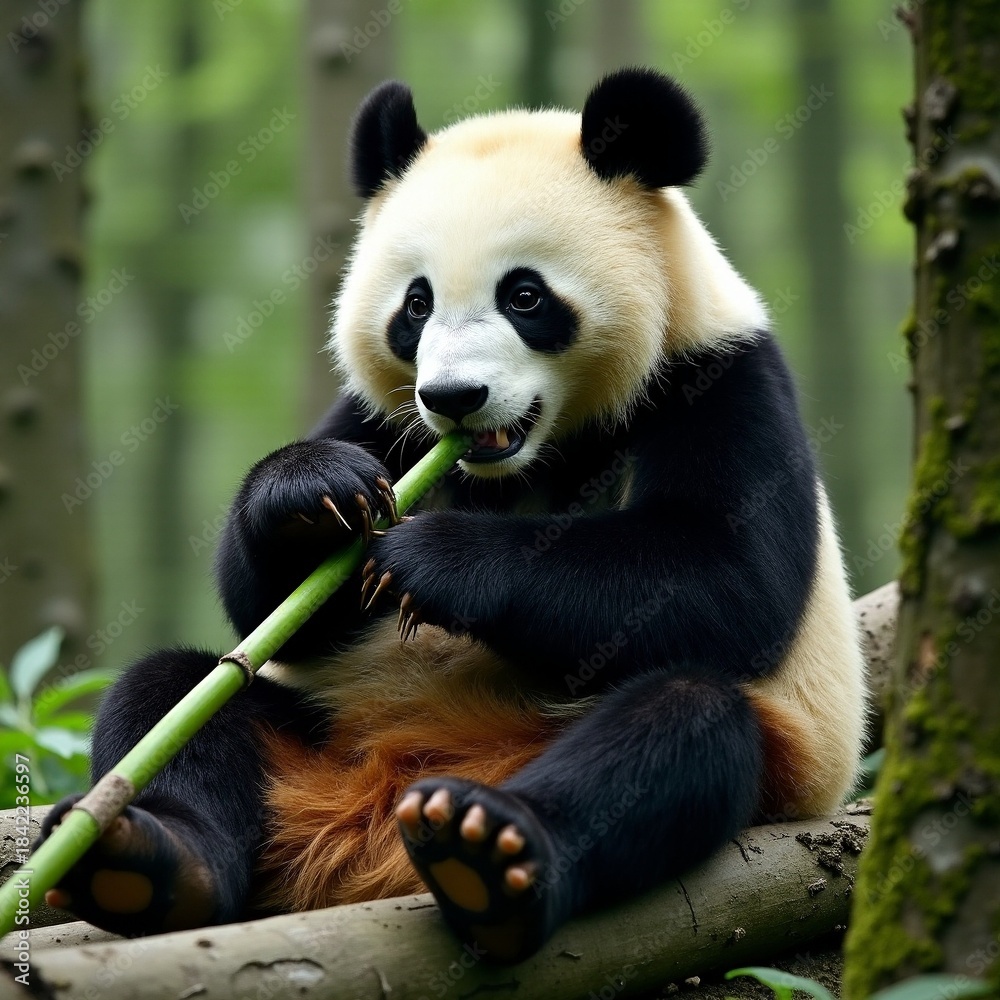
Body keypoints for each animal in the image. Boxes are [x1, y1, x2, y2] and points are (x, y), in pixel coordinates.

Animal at [39, 67, 865, 964]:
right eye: (416, 305)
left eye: (525, 295)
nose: (455, 398)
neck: (530, 457)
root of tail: (371, 827)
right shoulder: (387, 421)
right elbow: (272, 608)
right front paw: (310, 496)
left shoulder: (718, 377)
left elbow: (727, 575)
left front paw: (434, 561)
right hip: (325, 723)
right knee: (173, 696)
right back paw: (144, 859)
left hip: (752, 750)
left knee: (678, 729)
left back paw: (487, 853)